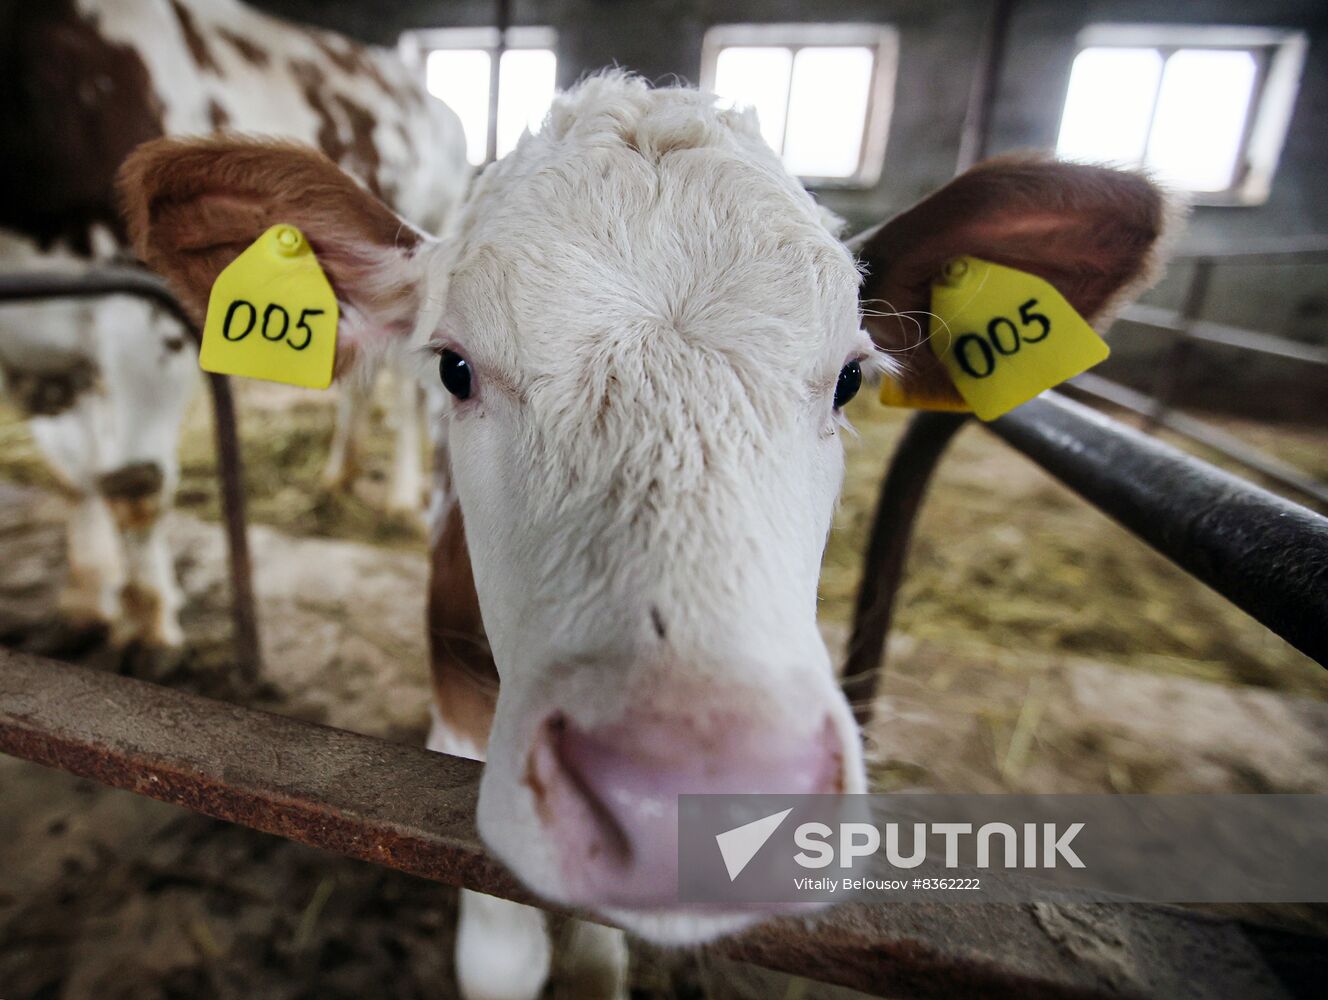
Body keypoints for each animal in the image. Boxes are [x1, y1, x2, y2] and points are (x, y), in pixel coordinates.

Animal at [0, 0, 467, 646]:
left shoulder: (146, 323)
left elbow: (136, 484)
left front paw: (150, 629)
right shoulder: (27, 343)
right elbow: (74, 475)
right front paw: (87, 597)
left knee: (405, 393)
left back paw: (400, 496)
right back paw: (339, 473)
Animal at [120, 71, 1172, 999]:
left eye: (849, 379)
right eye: (456, 367)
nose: (693, 800)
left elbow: (596, 959)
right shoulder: (456, 707)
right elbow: (500, 951)